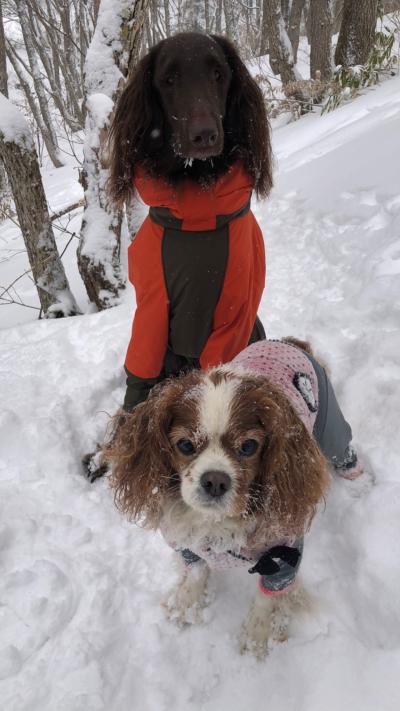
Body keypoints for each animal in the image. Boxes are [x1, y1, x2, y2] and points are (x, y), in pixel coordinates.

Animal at [106, 338, 362, 656]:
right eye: (185, 445)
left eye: (249, 446)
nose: (215, 481)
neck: (219, 524)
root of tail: (289, 341)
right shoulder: (190, 547)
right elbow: (195, 572)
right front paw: (186, 604)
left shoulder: (283, 558)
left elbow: (267, 599)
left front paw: (257, 637)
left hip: (330, 423)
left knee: (344, 449)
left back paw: (361, 482)